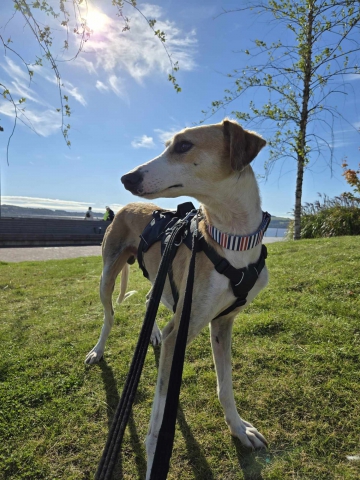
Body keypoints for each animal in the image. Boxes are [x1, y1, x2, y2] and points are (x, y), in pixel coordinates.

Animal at [86, 119, 268, 472]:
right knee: (109, 317)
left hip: (162, 279)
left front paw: (239, 430)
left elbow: (225, 386)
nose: (127, 178)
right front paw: (155, 456)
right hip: (107, 276)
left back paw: (153, 333)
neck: (231, 240)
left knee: (148, 300)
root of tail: (123, 208)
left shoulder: (221, 323)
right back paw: (98, 350)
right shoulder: (179, 334)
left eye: (184, 146)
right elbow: (159, 418)